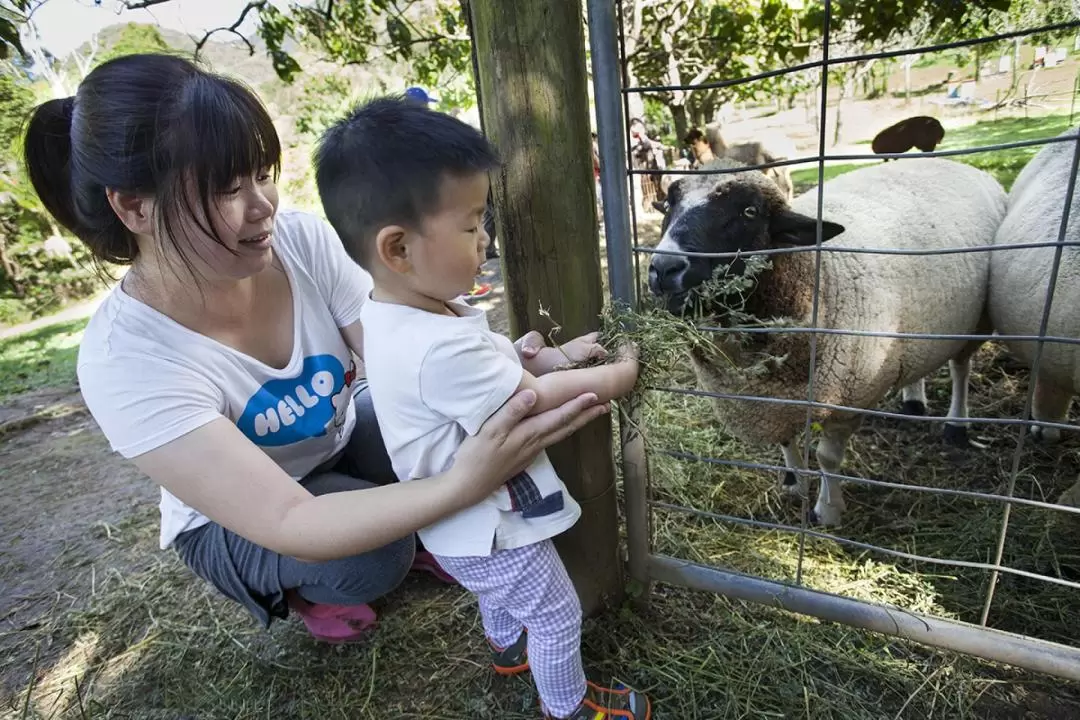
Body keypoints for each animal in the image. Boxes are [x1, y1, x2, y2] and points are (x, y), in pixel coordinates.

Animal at [643, 160, 1006, 526]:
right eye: (669, 204)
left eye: (749, 212)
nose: (663, 268)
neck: (815, 277)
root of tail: (954, 162)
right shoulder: (774, 399)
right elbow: (786, 441)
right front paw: (793, 482)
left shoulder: (850, 398)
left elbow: (827, 458)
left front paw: (828, 511)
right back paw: (913, 400)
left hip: (974, 323)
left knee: (961, 368)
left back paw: (956, 425)